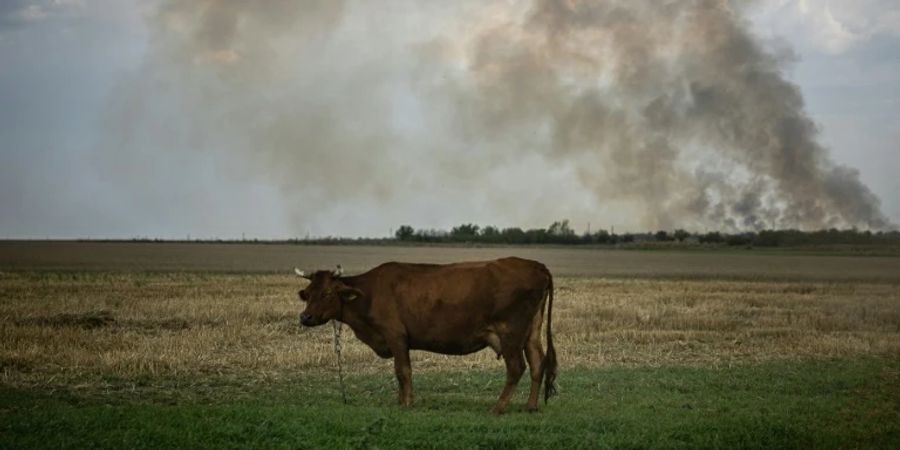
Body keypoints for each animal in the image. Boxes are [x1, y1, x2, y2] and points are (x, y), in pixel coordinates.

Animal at [294, 257, 557, 414]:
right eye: (308, 293)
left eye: (328, 293)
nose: (305, 317)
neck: (369, 293)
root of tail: (536, 265)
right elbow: (400, 373)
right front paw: (400, 400)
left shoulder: (396, 335)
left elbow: (402, 371)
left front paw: (406, 403)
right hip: (531, 332)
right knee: (537, 363)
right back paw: (531, 406)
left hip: (510, 333)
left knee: (517, 367)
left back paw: (498, 407)